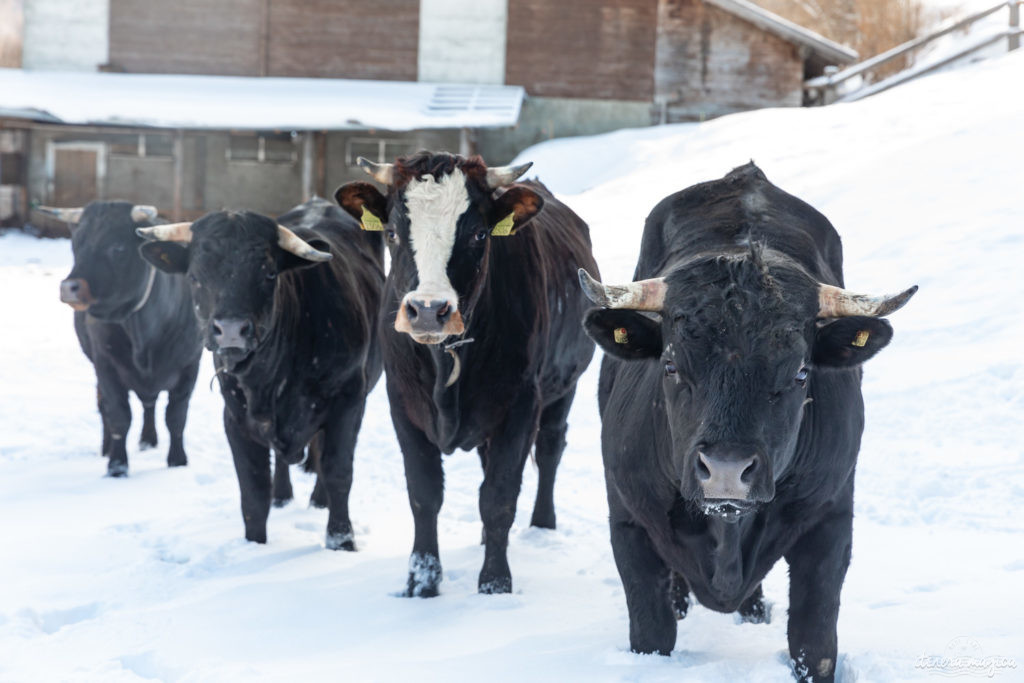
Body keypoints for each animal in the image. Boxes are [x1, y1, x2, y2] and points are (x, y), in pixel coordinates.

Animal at [55, 198, 202, 475]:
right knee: (106, 407)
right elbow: (118, 415)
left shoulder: (190, 364)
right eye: (76, 243)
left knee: (150, 404)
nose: (69, 288)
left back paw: (148, 439)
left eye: (118, 247)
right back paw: (108, 448)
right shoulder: (106, 366)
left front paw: (178, 460)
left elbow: (176, 416)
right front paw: (117, 465)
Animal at [136, 197, 385, 548]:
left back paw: (318, 499)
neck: (271, 377)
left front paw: (341, 541)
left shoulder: (348, 400)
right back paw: (282, 496)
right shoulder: (236, 417)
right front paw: (254, 545)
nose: (230, 330)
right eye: (195, 276)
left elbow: (338, 471)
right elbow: (253, 491)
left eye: (268, 273)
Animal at [331, 152, 598, 593]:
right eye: (391, 232)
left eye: (478, 235)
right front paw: (422, 581)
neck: (448, 360)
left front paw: (495, 583)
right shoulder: (403, 405)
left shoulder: (521, 404)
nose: (427, 310)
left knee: (549, 449)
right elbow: (424, 494)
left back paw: (542, 524)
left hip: (563, 388)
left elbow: (499, 496)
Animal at [581, 162, 917, 679]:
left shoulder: (831, 521)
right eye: (671, 365)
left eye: (801, 372)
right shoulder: (629, 522)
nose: (725, 469)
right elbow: (652, 633)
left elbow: (814, 643)